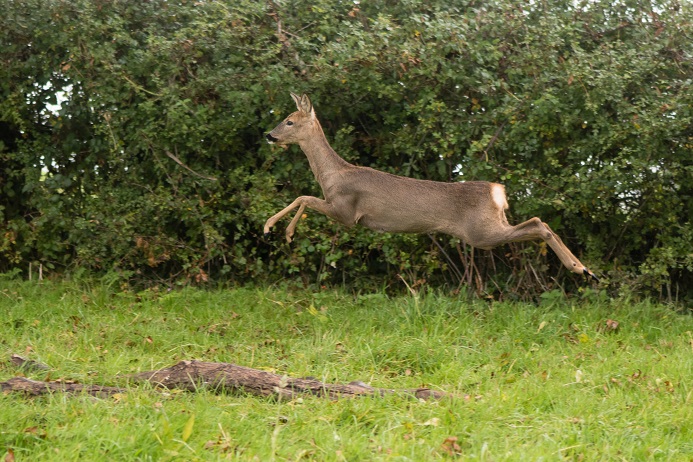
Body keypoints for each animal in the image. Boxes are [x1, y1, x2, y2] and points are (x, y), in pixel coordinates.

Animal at [262, 93, 596, 282]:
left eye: (289, 121)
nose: (269, 135)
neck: (332, 173)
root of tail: (496, 191)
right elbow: (303, 197)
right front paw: (281, 231)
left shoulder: (347, 211)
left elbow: (303, 196)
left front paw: (277, 229)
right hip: (490, 225)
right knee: (539, 222)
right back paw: (584, 268)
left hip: (481, 232)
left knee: (538, 223)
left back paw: (580, 268)